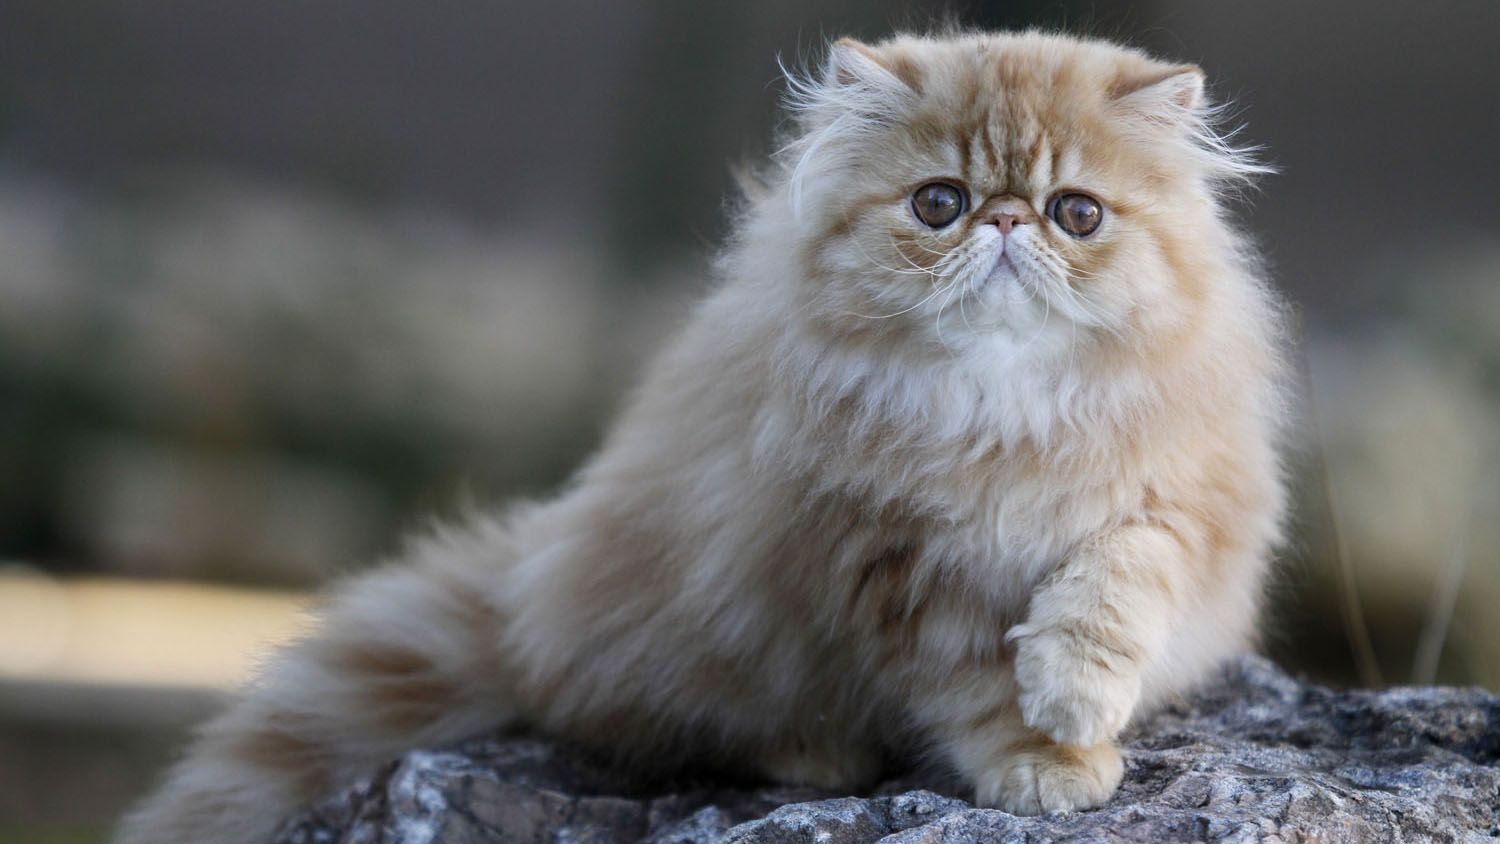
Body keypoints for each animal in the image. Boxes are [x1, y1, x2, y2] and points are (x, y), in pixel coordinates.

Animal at [117, 29, 1290, 839]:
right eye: (940, 204)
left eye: (1075, 214)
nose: (1005, 223)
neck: (999, 414)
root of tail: (525, 602)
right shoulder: (895, 567)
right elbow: (976, 686)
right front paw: (1039, 754)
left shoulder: (1185, 496)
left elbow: (1118, 580)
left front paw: (1076, 698)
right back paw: (819, 755)